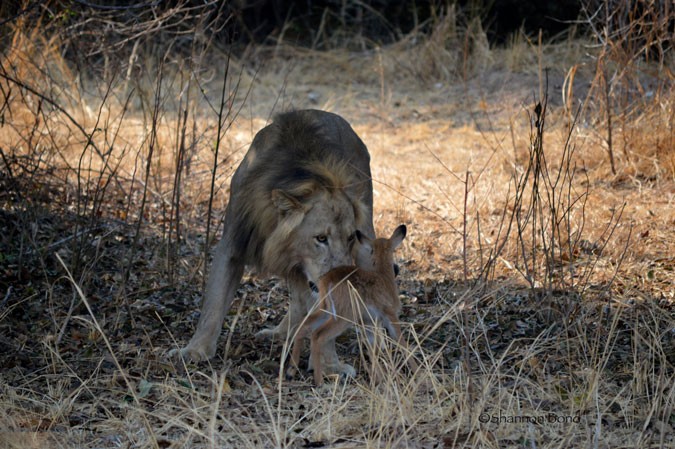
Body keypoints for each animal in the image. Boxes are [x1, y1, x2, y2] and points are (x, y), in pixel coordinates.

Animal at [174, 108, 374, 368]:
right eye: (321, 238)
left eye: (350, 237)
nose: (342, 279)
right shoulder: (233, 244)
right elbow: (214, 301)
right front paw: (195, 350)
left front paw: (329, 365)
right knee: (300, 298)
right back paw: (282, 334)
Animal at [290, 226, 418, 384]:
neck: (384, 278)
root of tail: (327, 279)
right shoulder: (390, 315)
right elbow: (401, 342)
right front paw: (419, 374)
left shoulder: (369, 321)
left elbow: (372, 349)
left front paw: (378, 379)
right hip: (342, 317)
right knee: (318, 335)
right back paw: (319, 381)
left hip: (325, 310)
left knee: (304, 325)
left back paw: (291, 371)